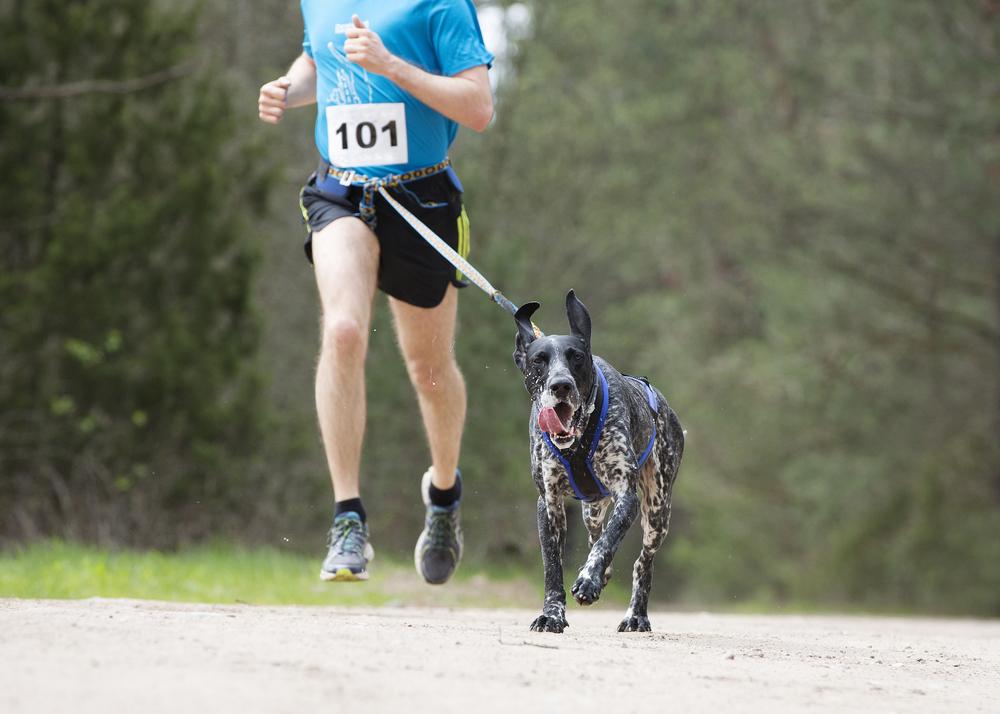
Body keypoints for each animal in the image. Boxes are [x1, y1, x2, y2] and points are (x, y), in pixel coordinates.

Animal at [512, 286, 684, 632]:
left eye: (576, 357)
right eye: (538, 360)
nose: (561, 385)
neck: (577, 444)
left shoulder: (626, 496)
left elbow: (610, 540)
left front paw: (589, 580)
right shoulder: (549, 503)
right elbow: (553, 565)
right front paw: (552, 614)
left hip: (657, 511)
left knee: (642, 562)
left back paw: (635, 615)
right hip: (591, 509)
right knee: (594, 533)